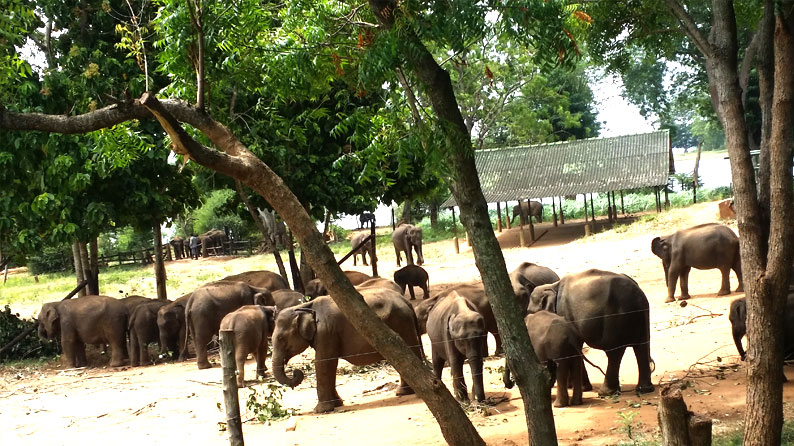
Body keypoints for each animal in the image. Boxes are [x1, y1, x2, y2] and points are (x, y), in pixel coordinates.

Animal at [270, 288, 424, 412]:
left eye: (281, 338)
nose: (296, 373)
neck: (302, 306)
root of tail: (407, 301)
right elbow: (330, 364)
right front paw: (337, 404)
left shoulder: (326, 333)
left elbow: (322, 363)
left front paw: (320, 410)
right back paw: (404, 392)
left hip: (402, 324)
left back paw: (405, 392)